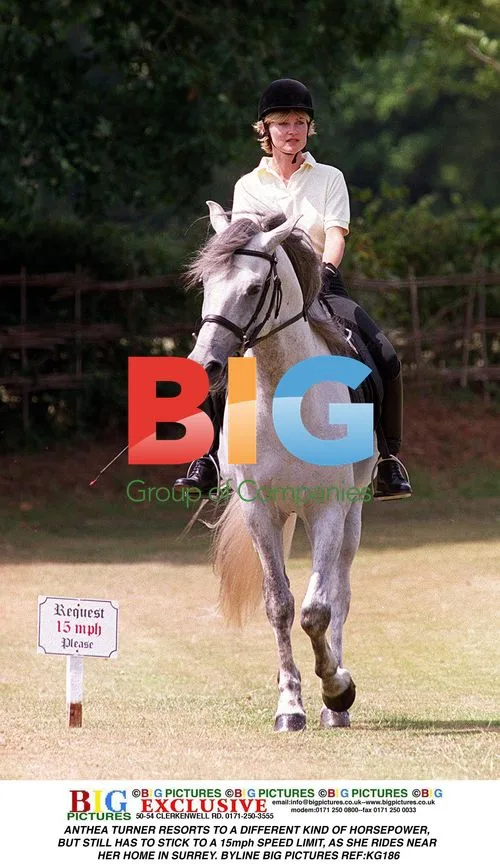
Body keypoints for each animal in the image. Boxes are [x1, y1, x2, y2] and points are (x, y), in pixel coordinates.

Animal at [187, 200, 377, 731]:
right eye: (206, 284)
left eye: (254, 288)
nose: (205, 365)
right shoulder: (260, 510)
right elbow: (279, 604)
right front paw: (290, 704)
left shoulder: (328, 509)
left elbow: (317, 610)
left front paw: (337, 689)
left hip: (352, 513)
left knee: (340, 592)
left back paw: (336, 704)